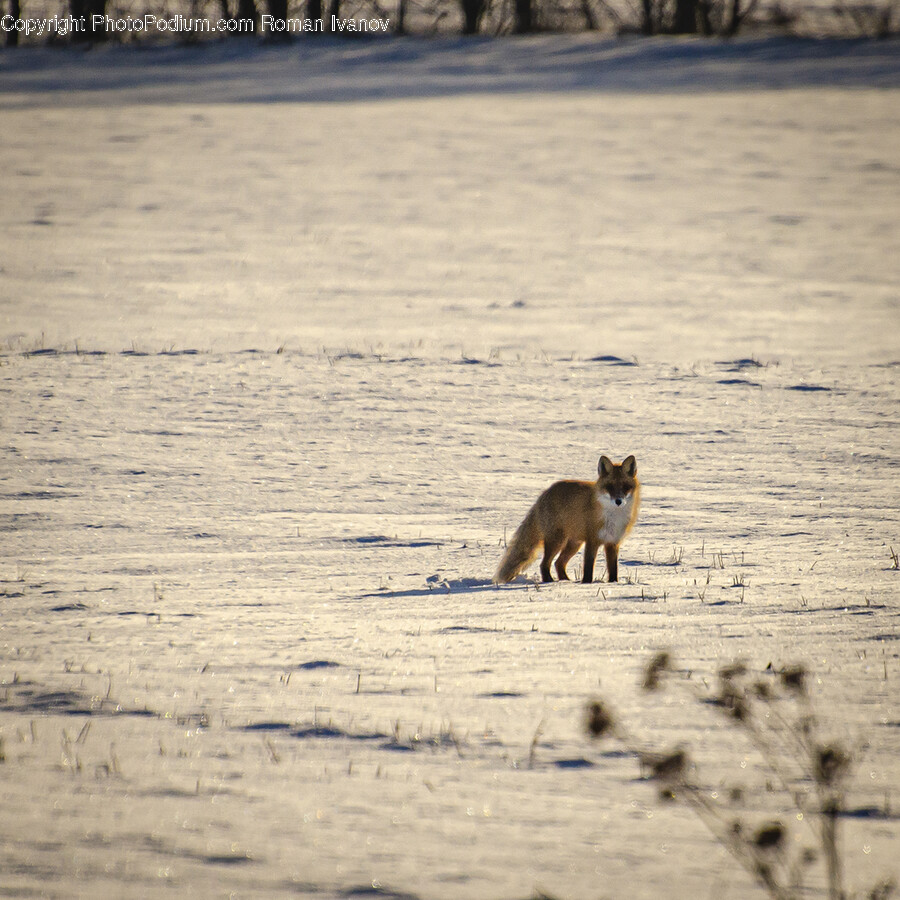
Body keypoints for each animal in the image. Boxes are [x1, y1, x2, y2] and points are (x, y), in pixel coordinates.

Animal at [493, 455, 640, 585]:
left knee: (558, 563)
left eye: (625, 487)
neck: (613, 517)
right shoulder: (592, 541)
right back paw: (549, 581)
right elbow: (588, 568)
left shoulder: (613, 542)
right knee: (544, 564)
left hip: (574, 544)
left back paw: (565, 581)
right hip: (557, 541)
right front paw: (586, 584)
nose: (618, 501)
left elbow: (613, 569)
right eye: (609, 487)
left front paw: (613, 583)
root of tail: (545, 492)